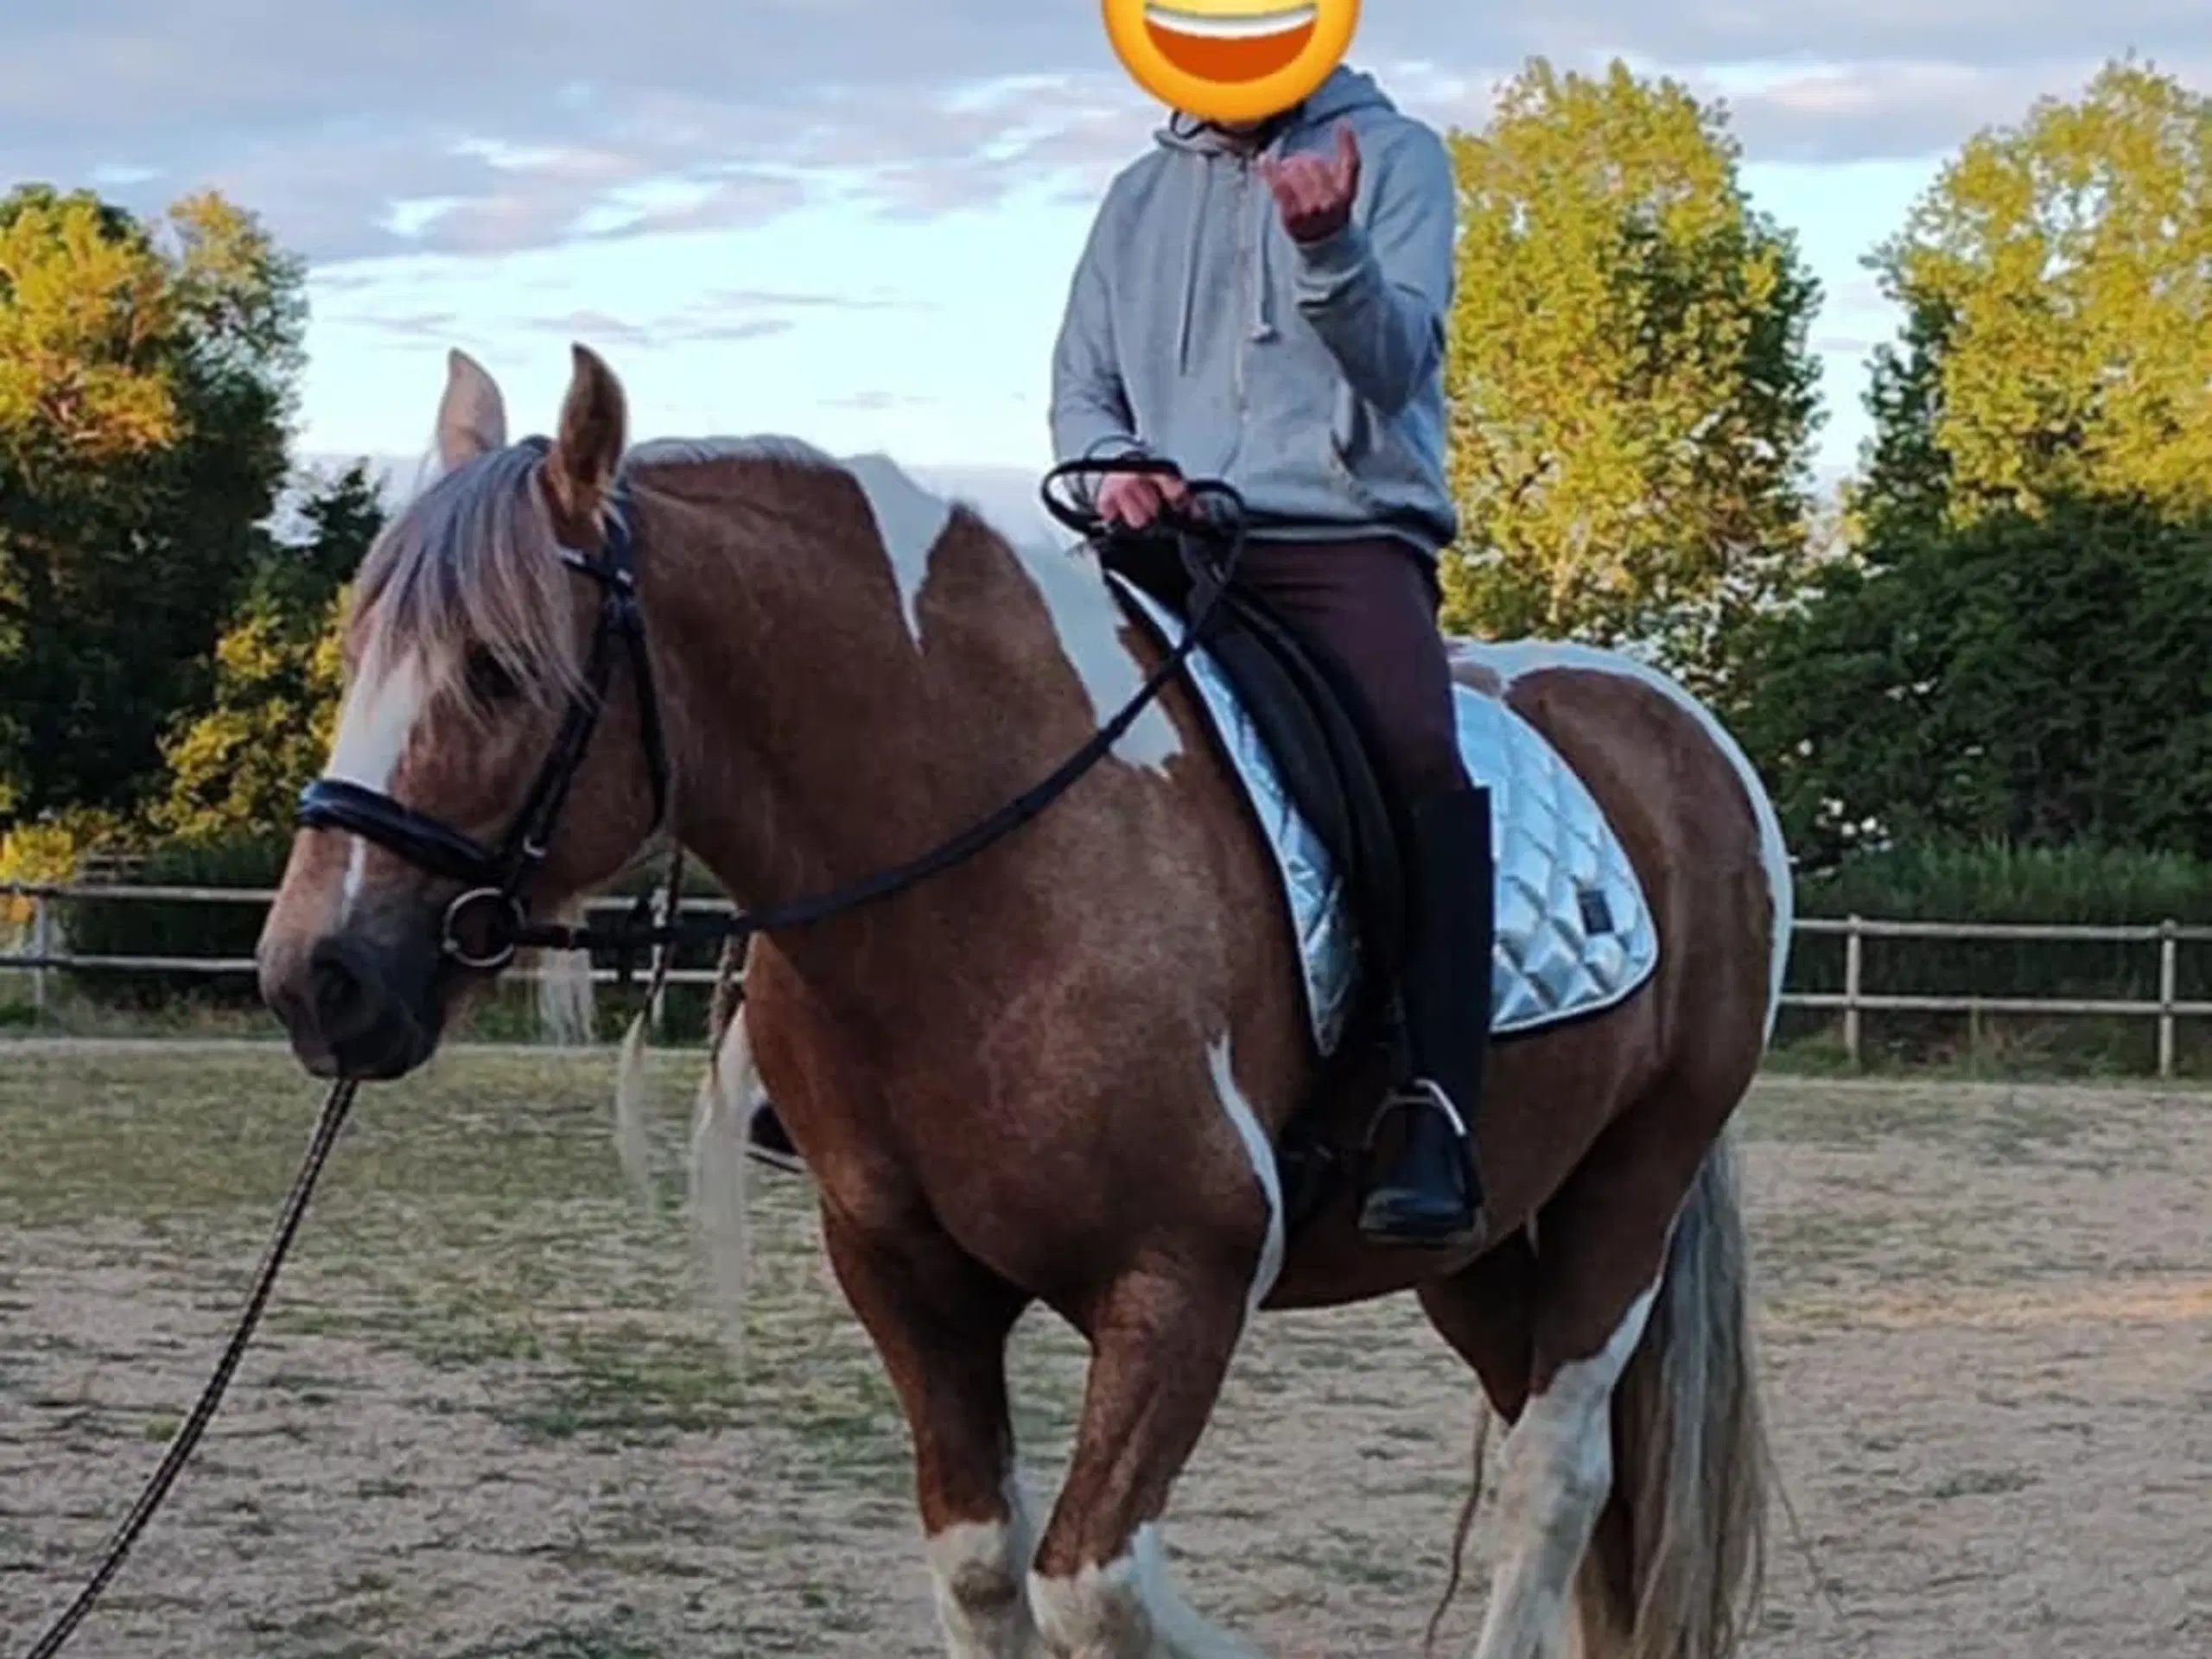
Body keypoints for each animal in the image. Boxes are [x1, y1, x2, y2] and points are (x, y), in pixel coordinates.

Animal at [258, 346, 1787, 1659]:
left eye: (497, 668)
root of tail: (1682, 728)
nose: (315, 978)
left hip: (1628, 1194)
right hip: (1479, 1242)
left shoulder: (1181, 1284)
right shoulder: (909, 1284)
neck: (988, 867)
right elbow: (988, 1570)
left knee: (1555, 1477)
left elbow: (1095, 1588)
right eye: (356, 653)